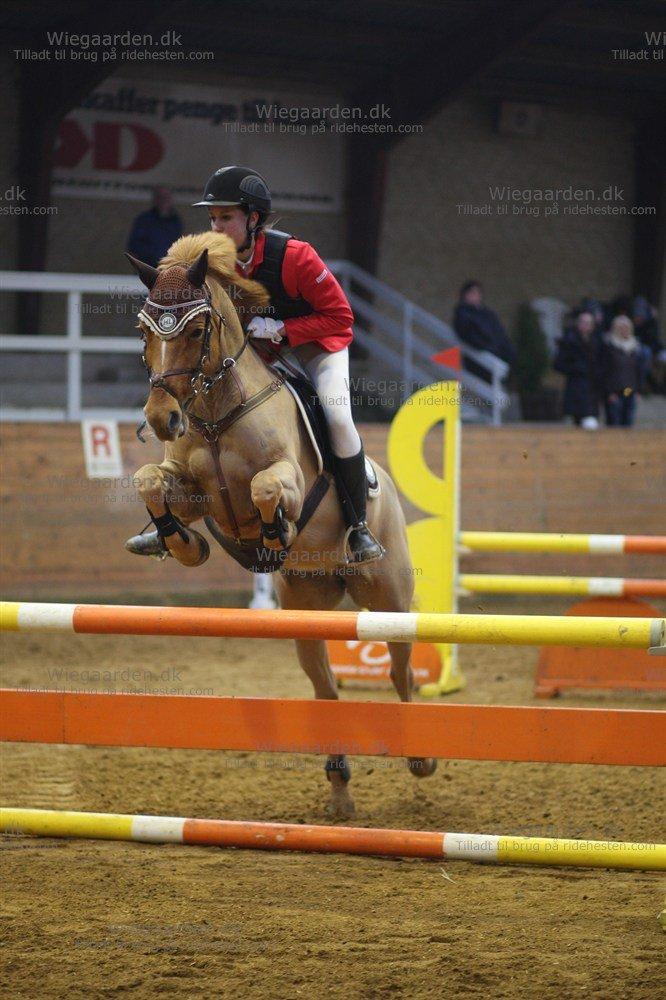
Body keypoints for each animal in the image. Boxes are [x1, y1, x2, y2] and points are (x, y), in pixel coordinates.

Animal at [128, 234, 436, 820]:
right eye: (144, 331)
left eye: (196, 331)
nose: (161, 419)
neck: (216, 412)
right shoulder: (190, 488)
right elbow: (148, 480)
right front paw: (182, 542)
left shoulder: (286, 478)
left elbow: (266, 492)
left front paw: (275, 535)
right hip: (306, 611)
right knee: (328, 689)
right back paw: (339, 790)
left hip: (387, 597)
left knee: (400, 669)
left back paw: (421, 757)